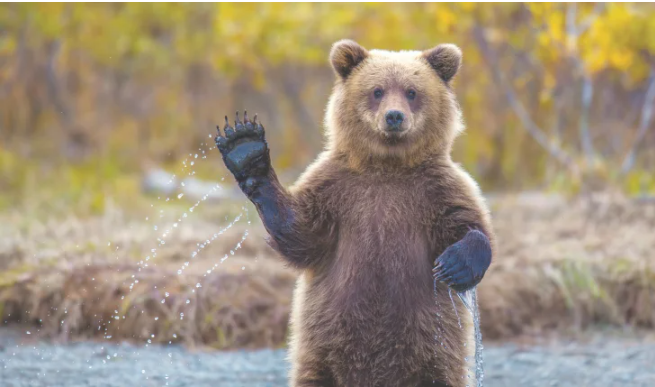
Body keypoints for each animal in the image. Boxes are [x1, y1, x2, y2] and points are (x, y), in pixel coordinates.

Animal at [215, 39, 498, 387]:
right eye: (377, 90)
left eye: (412, 91)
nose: (394, 116)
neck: (387, 165)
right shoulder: (338, 189)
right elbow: (301, 233)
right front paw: (245, 147)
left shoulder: (436, 189)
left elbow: (469, 223)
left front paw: (454, 265)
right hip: (321, 351)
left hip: (434, 352)